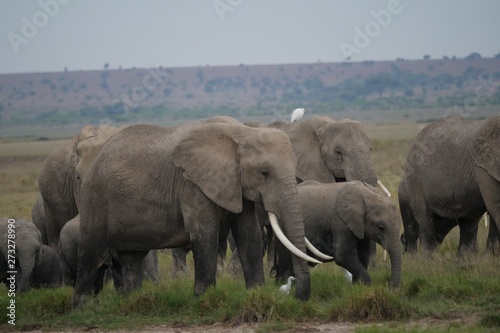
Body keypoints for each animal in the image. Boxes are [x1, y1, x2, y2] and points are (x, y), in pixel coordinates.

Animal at [71, 119, 320, 306]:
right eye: (264, 173)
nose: (297, 297)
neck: (241, 133)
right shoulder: (192, 184)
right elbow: (205, 235)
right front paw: (204, 300)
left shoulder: (235, 185)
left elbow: (249, 235)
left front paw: (257, 294)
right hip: (95, 198)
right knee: (91, 252)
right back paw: (83, 307)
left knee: (132, 258)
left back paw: (131, 301)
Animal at [274, 180, 402, 286]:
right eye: (381, 228)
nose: (389, 285)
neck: (370, 195)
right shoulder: (340, 222)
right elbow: (343, 255)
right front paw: (367, 285)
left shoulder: (361, 227)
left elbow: (364, 254)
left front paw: (357, 286)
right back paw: (283, 284)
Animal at [398, 115, 500, 254]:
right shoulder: (483, 169)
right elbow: (496, 206)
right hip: (415, 181)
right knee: (423, 222)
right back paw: (423, 258)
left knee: (468, 224)